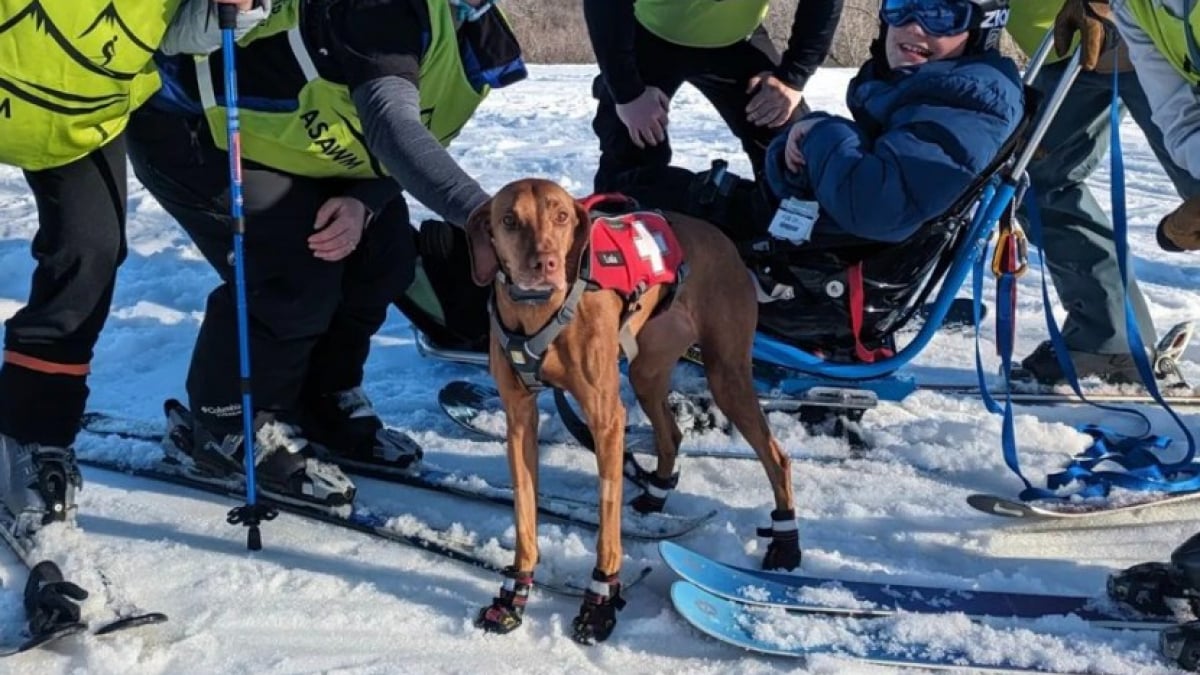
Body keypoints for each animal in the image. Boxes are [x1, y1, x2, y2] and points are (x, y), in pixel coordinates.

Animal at [465, 177, 796, 638]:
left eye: (561, 215)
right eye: (510, 220)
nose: (544, 263)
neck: (540, 310)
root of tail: (726, 242)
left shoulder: (606, 420)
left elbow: (607, 523)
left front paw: (600, 601)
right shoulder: (519, 421)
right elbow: (525, 517)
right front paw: (514, 596)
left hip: (727, 377)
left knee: (777, 457)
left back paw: (786, 542)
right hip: (647, 371)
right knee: (670, 432)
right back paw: (655, 497)